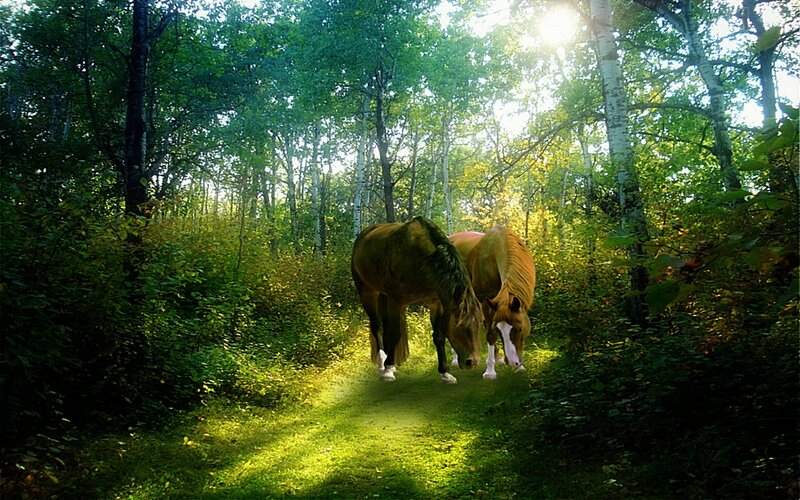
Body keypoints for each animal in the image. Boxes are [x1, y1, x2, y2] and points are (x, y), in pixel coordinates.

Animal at [351, 216, 482, 384]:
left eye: (479, 322)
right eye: (458, 324)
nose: (472, 362)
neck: (422, 258)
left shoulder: (436, 303)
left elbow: (439, 336)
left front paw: (445, 373)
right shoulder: (396, 301)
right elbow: (395, 334)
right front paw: (388, 371)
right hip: (367, 291)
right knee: (377, 326)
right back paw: (382, 364)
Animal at [448, 227, 536, 379]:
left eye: (519, 329)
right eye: (499, 330)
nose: (512, 362)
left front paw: (519, 367)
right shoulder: (486, 300)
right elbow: (490, 334)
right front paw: (490, 371)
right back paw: (455, 358)